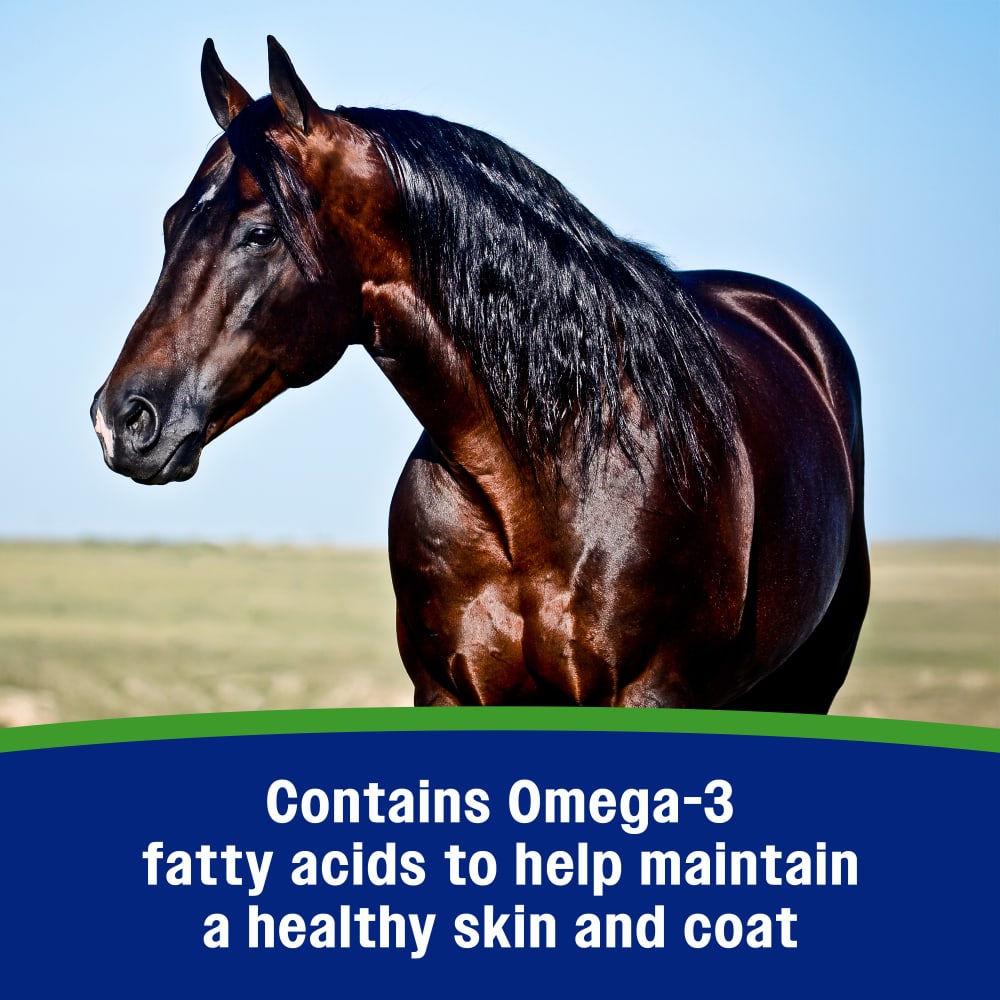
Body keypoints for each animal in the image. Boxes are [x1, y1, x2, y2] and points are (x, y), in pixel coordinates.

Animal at [91, 37, 869, 711]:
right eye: (171, 224)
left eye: (260, 233)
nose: (122, 419)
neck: (545, 477)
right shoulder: (450, 690)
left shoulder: (650, 693)